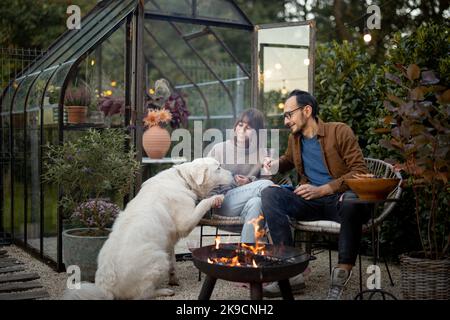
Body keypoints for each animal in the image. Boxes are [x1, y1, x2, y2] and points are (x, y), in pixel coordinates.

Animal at [64, 158, 232, 300]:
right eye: (218, 168)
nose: (232, 174)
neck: (182, 179)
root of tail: (106, 287)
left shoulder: (168, 241)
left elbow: (173, 261)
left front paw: (174, 278)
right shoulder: (186, 222)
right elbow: (203, 204)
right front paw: (215, 199)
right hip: (158, 259)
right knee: (143, 294)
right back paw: (163, 291)